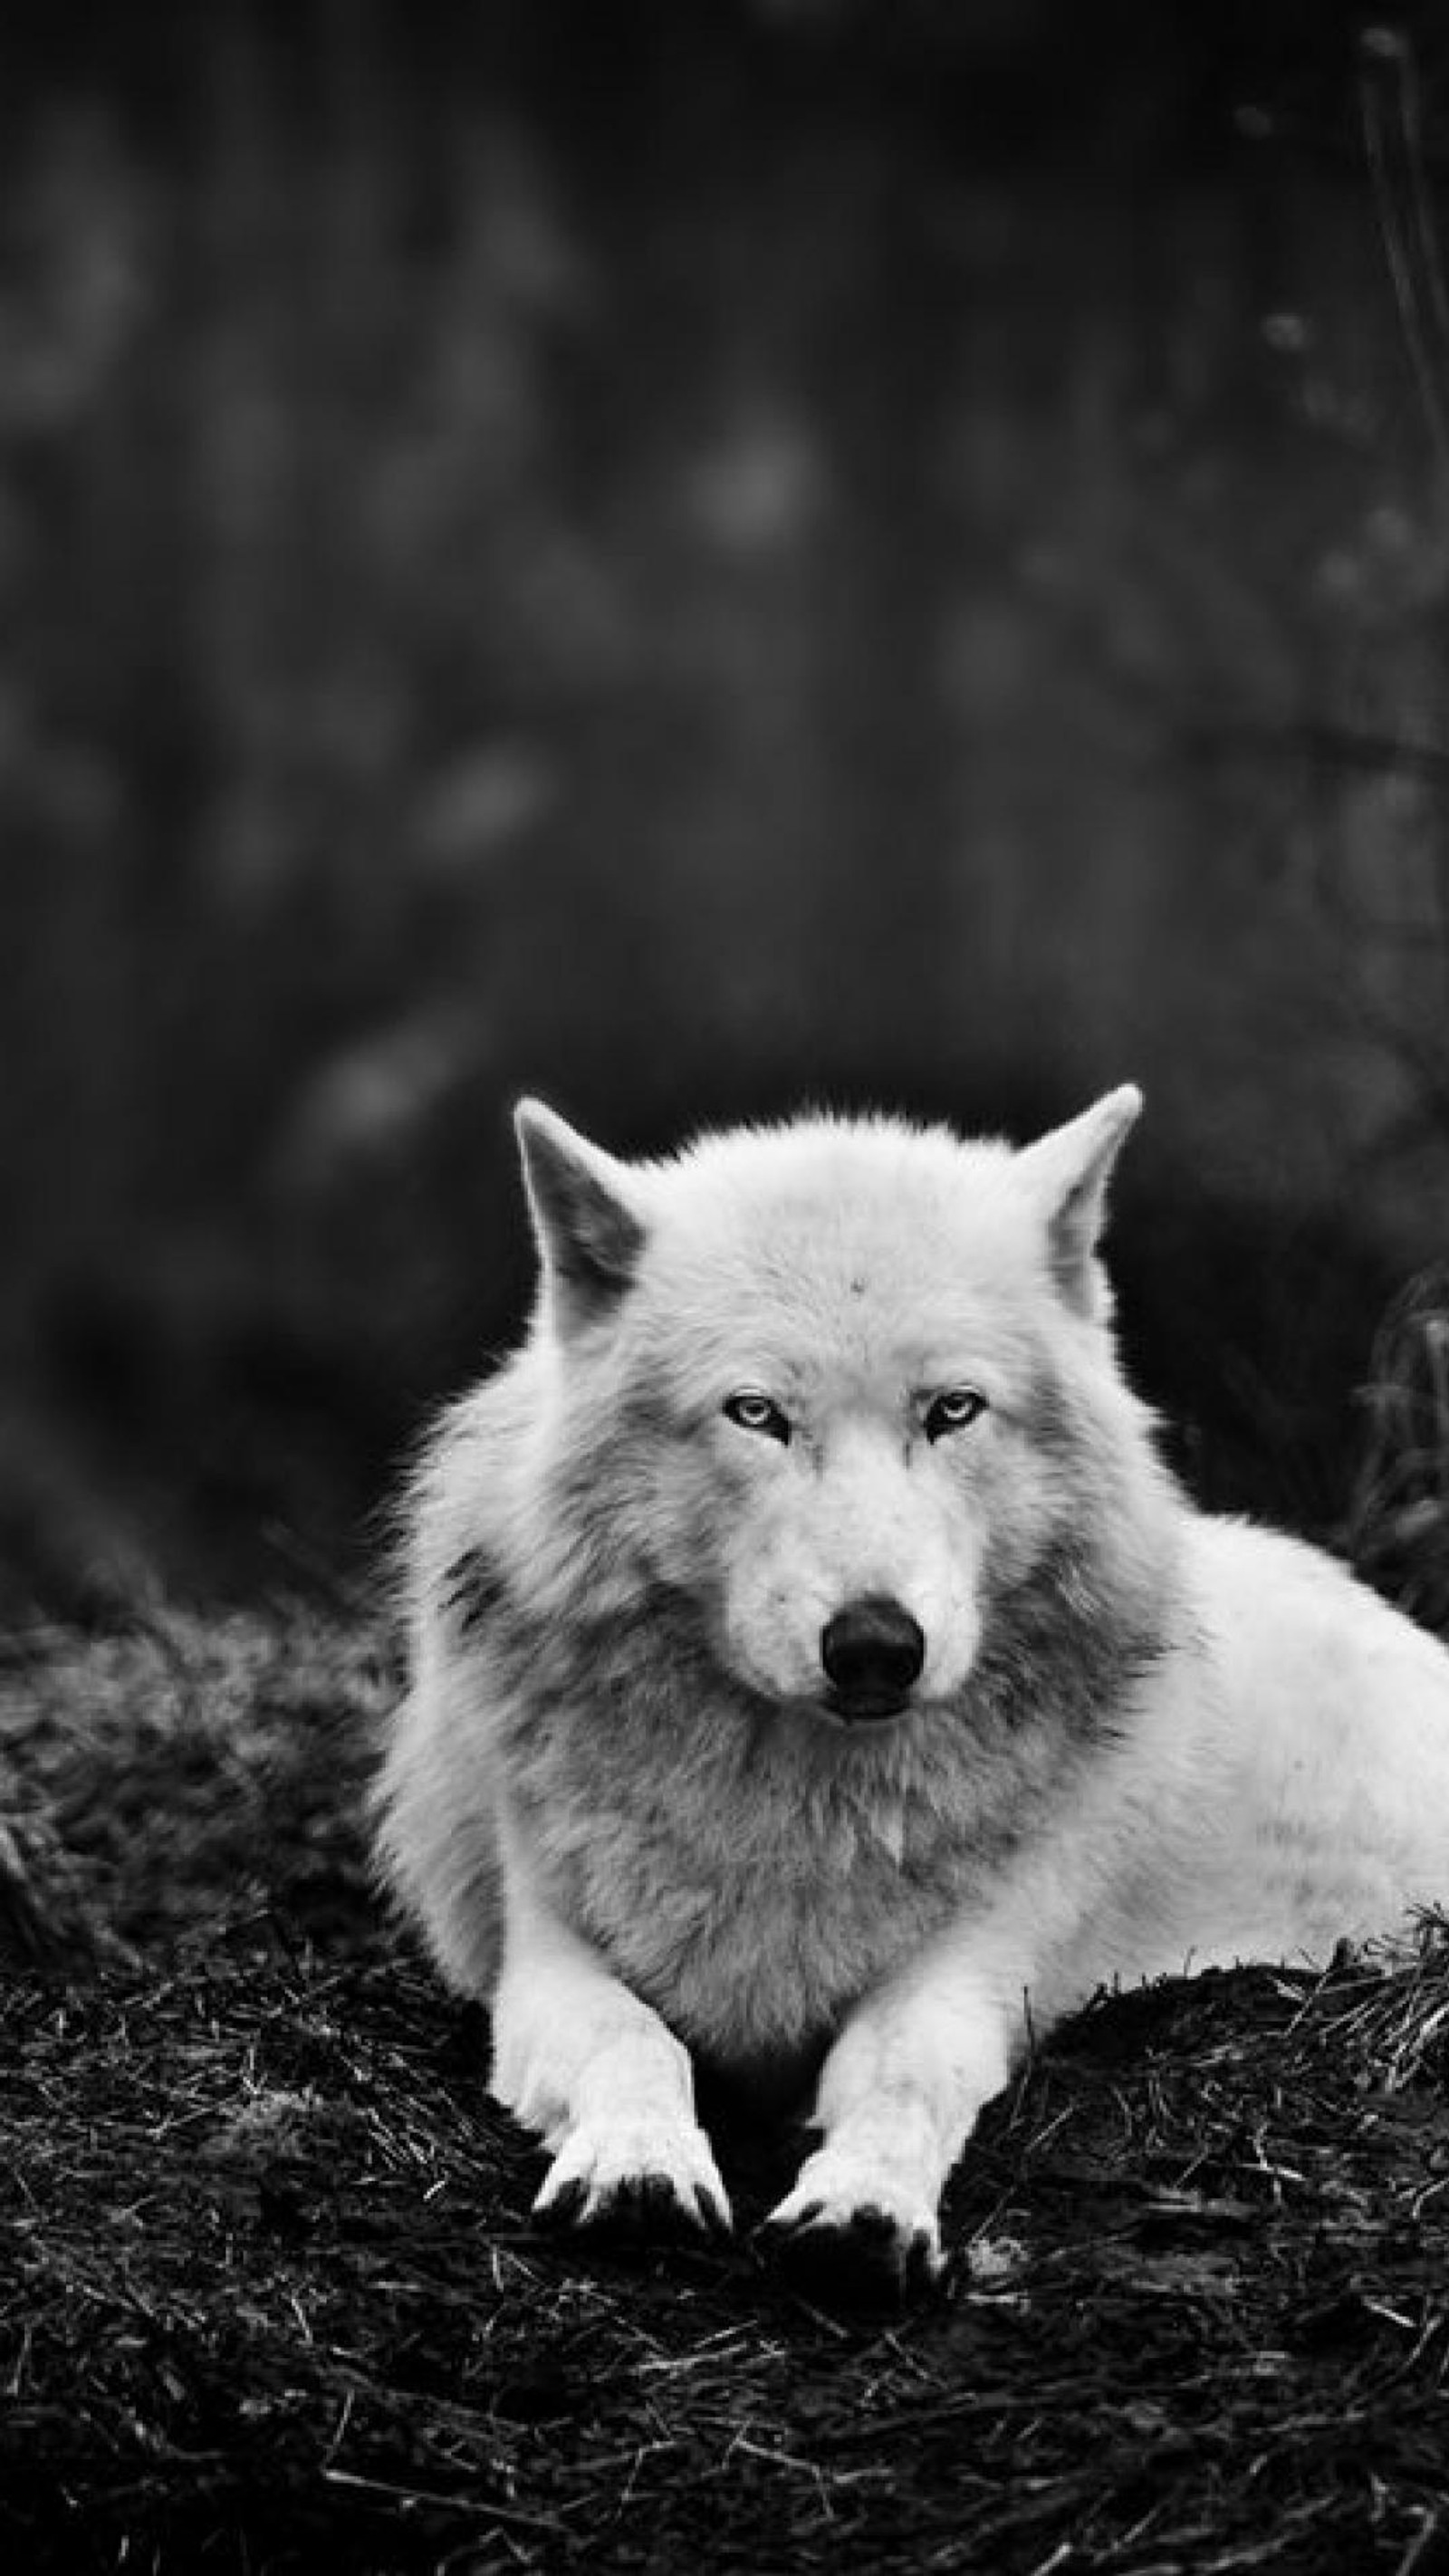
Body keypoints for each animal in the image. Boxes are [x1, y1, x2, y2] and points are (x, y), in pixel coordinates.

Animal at [365, 1087, 1449, 2297]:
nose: (877, 1646)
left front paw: (863, 2207)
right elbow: (629, 2038)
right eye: (756, 1414)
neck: (796, 1806)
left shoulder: (973, 1967)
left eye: (953, 1411)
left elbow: (903, 2072)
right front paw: (639, 2167)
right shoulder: (544, 1954)